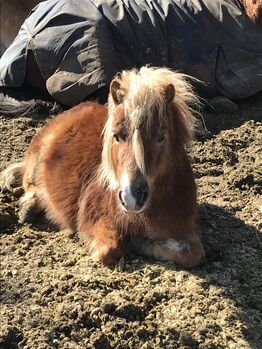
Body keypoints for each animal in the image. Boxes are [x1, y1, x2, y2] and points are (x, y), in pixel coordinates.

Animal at [1, 66, 206, 266]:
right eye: (116, 135)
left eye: (161, 137)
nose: (132, 198)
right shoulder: (94, 219)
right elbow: (111, 249)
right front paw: (135, 241)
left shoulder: (184, 228)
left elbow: (193, 254)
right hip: (36, 157)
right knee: (29, 181)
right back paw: (28, 208)